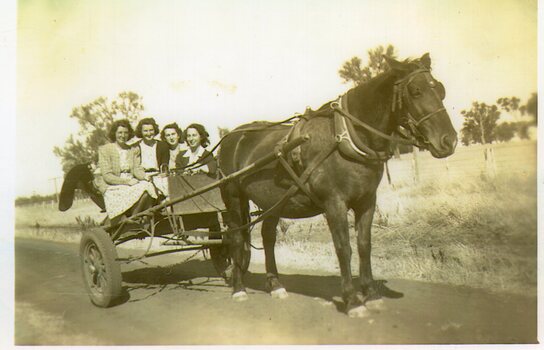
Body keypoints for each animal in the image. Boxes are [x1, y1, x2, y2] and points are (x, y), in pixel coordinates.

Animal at [219, 52, 456, 318]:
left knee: (268, 237)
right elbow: (344, 248)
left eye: (441, 90)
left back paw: (275, 284)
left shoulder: (367, 202)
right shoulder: (335, 204)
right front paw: (352, 299)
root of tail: (232, 136)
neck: (347, 138)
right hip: (233, 197)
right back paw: (239, 288)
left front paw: (370, 293)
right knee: (236, 237)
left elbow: (364, 245)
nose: (449, 141)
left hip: (273, 201)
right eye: (415, 91)